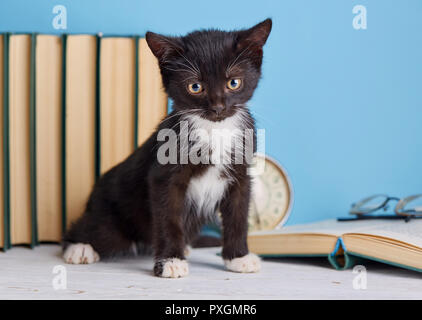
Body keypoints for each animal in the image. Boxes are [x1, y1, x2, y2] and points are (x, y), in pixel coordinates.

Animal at [62, 18, 274, 278]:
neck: (213, 130)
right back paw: (79, 248)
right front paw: (171, 261)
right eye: (195, 87)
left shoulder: (241, 175)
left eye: (233, 83)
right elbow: (168, 218)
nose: (218, 107)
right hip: (111, 221)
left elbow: (238, 215)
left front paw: (239, 257)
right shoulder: (164, 178)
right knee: (90, 230)